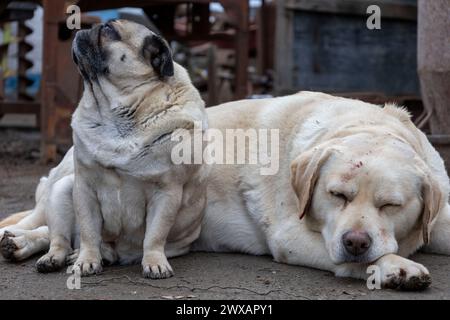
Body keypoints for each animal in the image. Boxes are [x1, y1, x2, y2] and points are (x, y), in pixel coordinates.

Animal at [0, 20, 207, 280]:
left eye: (109, 30)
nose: (85, 28)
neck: (116, 113)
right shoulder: (85, 189)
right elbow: (89, 233)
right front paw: (86, 261)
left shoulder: (167, 193)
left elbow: (155, 236)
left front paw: (154, 262)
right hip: (61, 192)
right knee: (59, 238)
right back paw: (51, 256)